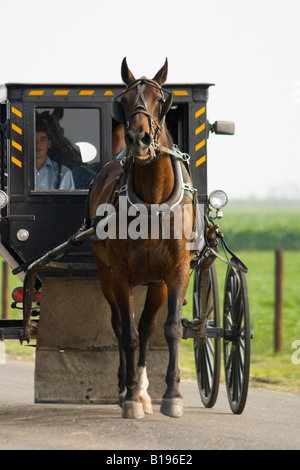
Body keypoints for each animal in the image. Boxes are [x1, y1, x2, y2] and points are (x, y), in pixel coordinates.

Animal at [89, 57, 197, 418]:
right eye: (123, 101)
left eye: (161, 100)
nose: (139, 139)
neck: (152, 199)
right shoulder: (120, 275)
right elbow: (129, 335)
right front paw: (131, 398)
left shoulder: (176, 272)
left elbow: (171, 328)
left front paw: (172, 396)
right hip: (106, 276)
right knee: (121, 326)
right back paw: (128, 388)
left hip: (155, 283)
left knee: (149, 328)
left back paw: (145, 390)